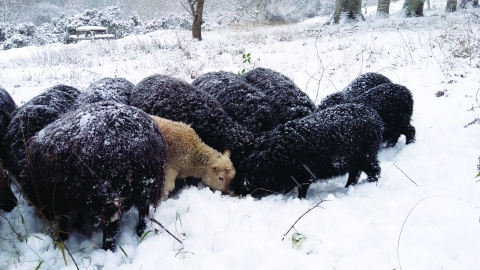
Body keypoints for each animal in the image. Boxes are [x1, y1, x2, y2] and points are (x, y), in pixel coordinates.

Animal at [26, 101, 169, 251]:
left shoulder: (58, 197)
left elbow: (63, 221)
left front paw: (62, 238)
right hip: (148, 186)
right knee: (143, 212)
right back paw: (140, 232)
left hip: (109, 197)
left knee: (111, 230)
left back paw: (107, 249)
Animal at [231, 103, 384, 198]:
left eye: (246, 176)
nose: (234, 190)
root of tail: (375, 117)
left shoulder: (303, 175)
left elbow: (302, 190)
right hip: (357, 160)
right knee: (355, 174)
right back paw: (347, 188)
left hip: (366, 156)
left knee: (374, 171)